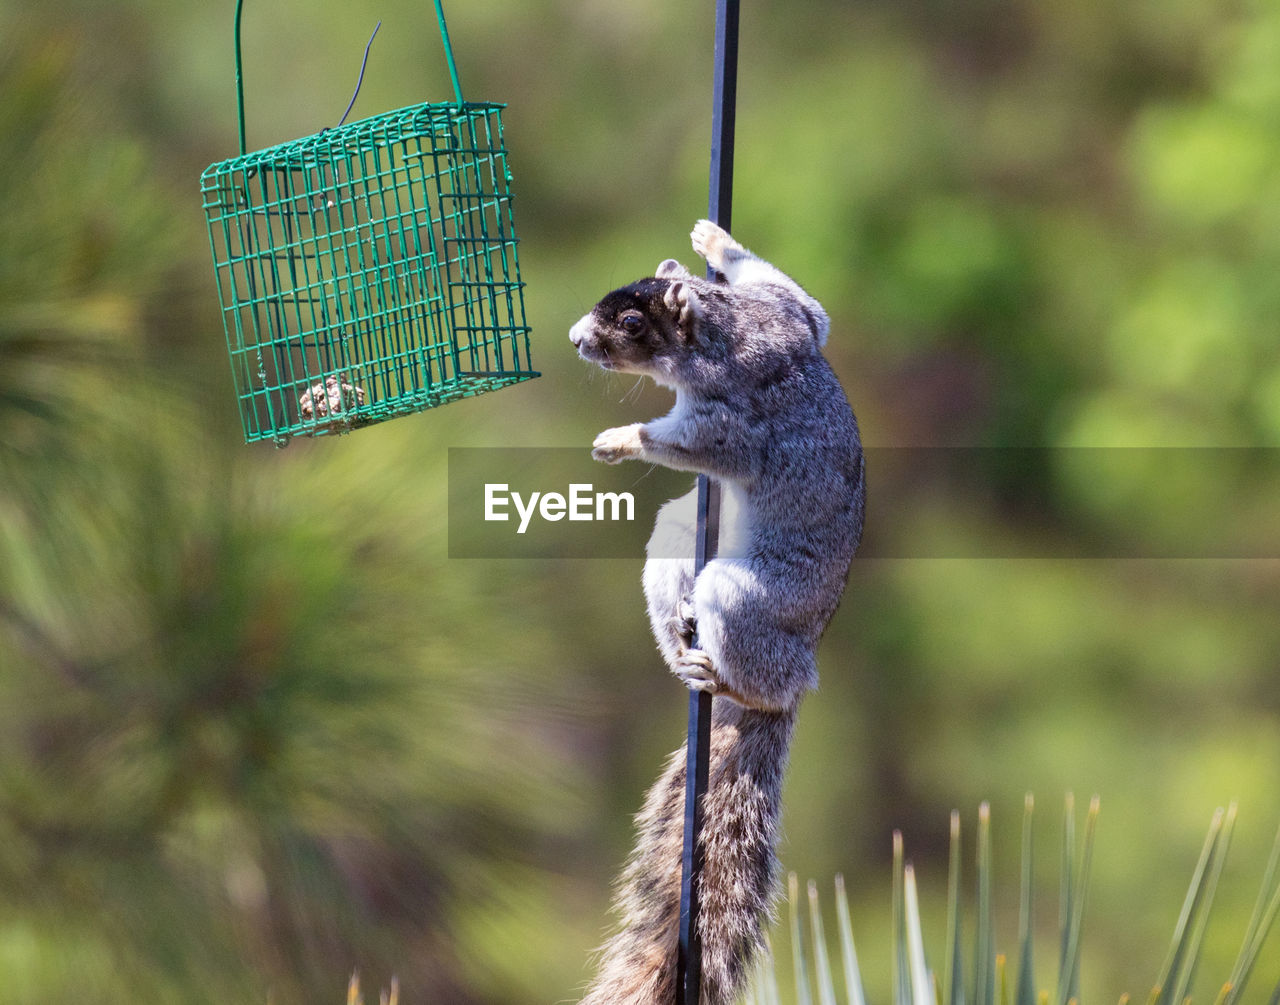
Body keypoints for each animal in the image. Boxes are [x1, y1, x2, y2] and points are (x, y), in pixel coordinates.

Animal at [573, 221, 865, 1003]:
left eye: (632, 323)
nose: (578, 339)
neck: (728, 333)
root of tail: (809, 647)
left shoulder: (734, 422)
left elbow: (698, 442)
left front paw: (621, 440)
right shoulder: (791, 319)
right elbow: (810, 306)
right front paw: (716, 242)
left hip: (741, 598)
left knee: (771, 676)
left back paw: (729, 678)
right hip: (678, 536)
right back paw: (679, 649)